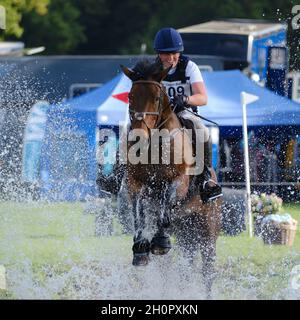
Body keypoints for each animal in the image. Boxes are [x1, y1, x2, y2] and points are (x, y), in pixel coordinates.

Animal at [120, 58, 223, 296]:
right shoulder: (134, 184)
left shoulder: (179, 181)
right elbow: (139, 211)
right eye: (130, 96)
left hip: (208, 231)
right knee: (180, 269)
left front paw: (159, 242)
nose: (138, 137)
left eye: (157, 98)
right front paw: (140, 248)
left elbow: (165, 205)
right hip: (186, 234)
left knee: (208, 270)